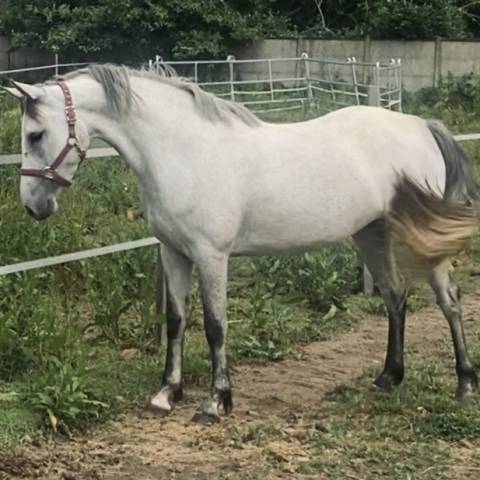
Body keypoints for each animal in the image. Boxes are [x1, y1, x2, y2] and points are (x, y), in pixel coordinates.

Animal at [4, 64, 480, 424]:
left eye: (35, 135)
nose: (32, 206)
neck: (183, 151)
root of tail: (421, 125)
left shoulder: (212, 256)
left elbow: (215, 326)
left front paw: (216, 402)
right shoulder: (174, 253)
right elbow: (176, 321)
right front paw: (167, 393)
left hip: (421, 239)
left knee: (449, 300)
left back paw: (464, 384)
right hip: (371, 233)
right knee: (395, 297)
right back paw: (388, 378)